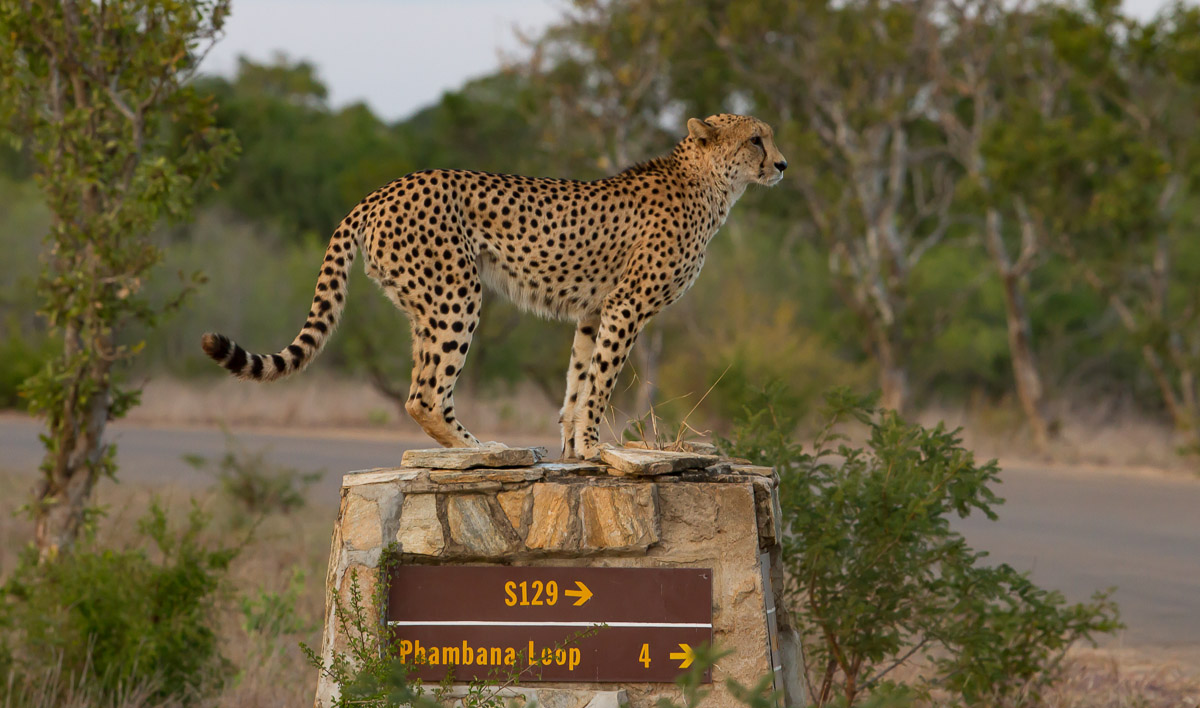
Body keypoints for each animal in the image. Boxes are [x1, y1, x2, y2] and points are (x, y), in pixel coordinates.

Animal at [200, 114, 787, 459]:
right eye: (756, 139)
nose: (782, 164)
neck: (709, 183)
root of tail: (381, 191)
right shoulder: (625, 305)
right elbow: (600, 382)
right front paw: (593, 448)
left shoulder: (594, 311)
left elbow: (577, 381)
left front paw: (573, 447)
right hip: (457, 293)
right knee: (424, 396)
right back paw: (483, 452)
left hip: (427, 304)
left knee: (423, 385)